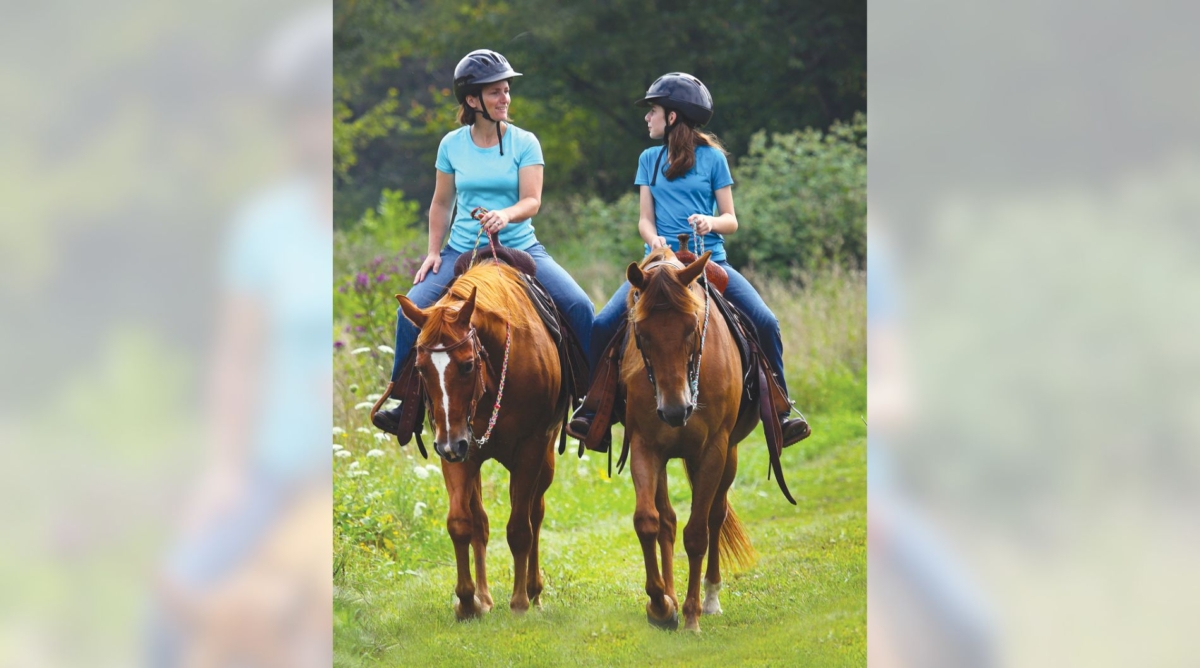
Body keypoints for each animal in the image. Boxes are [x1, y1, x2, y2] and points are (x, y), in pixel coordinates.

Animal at [393, 260, 561, 618]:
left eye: (468, 365)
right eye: (420, 367)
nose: (449, 445)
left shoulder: (529, 450)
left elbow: (520, 527)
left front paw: (519, 602)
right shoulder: (459, 450)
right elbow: (461, 523)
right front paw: (468, 601)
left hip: (545, 458)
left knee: (535, 513)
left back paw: (533, 591)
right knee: (481, 522)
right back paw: (484, 597)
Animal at [624, 247, 753, 633]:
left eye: (692, 327)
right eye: (641, 332)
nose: (675, 410)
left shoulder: (713, 451)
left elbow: (697, 533)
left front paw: (692, 614)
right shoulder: (644, 447)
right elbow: (647, 521)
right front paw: (661, 606)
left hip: (729, 455)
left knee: (715, 516)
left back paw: (710, 598)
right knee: (666, 521)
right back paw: (670, 596)